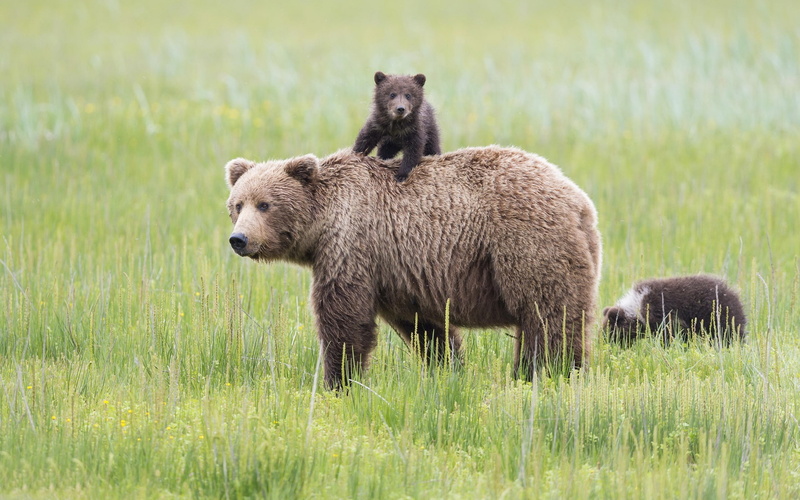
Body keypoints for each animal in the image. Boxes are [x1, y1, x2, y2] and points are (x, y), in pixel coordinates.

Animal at [225, 146, 602, 390]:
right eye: (237, 204)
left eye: (265, 204)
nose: (239, 239)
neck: (322, 223)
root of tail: (579, 201)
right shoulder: (401, 272)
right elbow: (426, 327)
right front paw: (447, 369)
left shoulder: (352, 245)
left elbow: (343, 317)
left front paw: (338, 381)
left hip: (526, 242)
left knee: (547, 315)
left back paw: (550, 374)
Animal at [602, 274, 747, 345]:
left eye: (610, 331)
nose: (605, 344)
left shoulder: (661, 314)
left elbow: (669, 334)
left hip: (718, 315)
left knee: (729, 334)